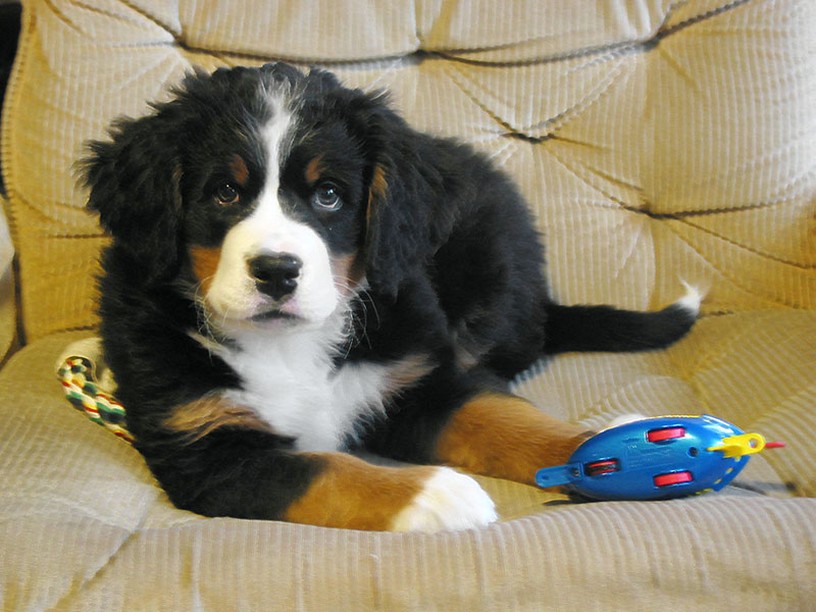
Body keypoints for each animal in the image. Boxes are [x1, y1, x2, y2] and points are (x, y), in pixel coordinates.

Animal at [81, 61, 696, 532]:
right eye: (225, 192)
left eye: (329, 195)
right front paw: (438, 494)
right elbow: (326, 471)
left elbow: (502, 416)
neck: (292, 346)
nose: (277, 271)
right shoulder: (207, 449)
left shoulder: (418, 379)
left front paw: (611, 447)